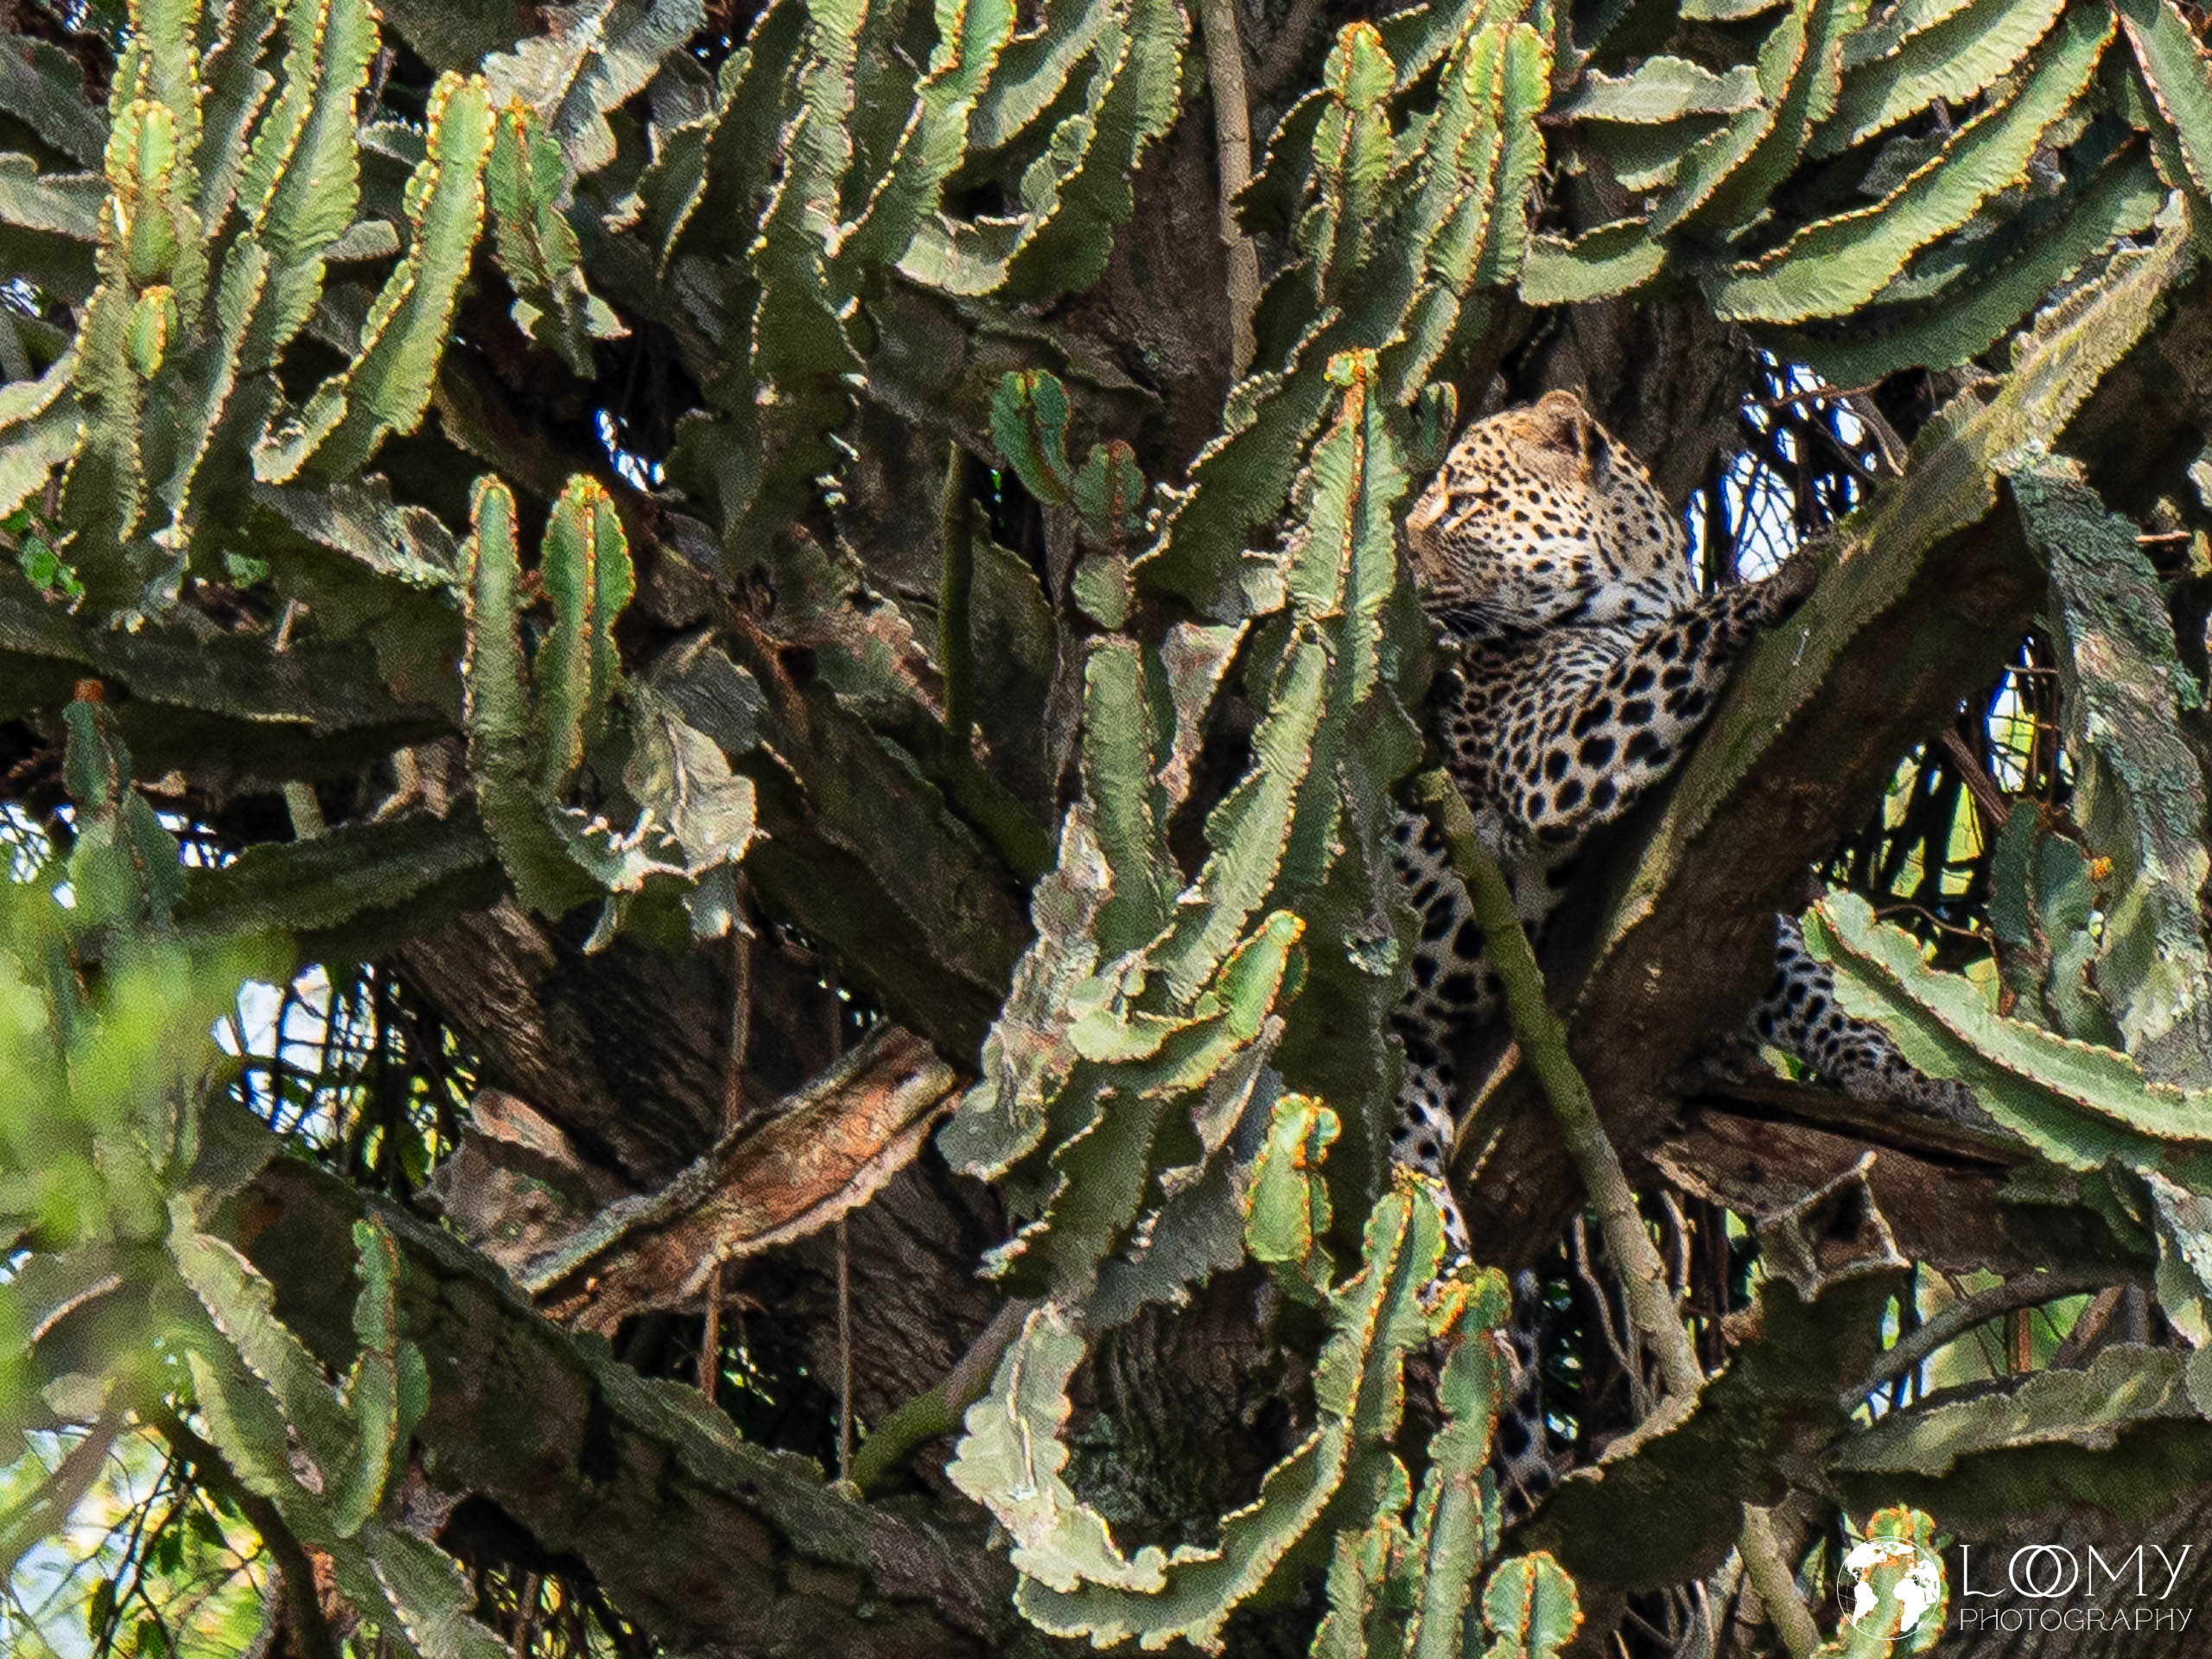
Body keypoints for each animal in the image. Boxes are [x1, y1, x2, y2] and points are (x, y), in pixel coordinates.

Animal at [1384, 389, 1972, 1512]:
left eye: (1462, 502)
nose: (1395, 556)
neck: (1636, 584)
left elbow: (1804, 983)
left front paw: (1899, 1077)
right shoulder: (1555, 755)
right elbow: (1678, 644)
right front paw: (1788, 574)